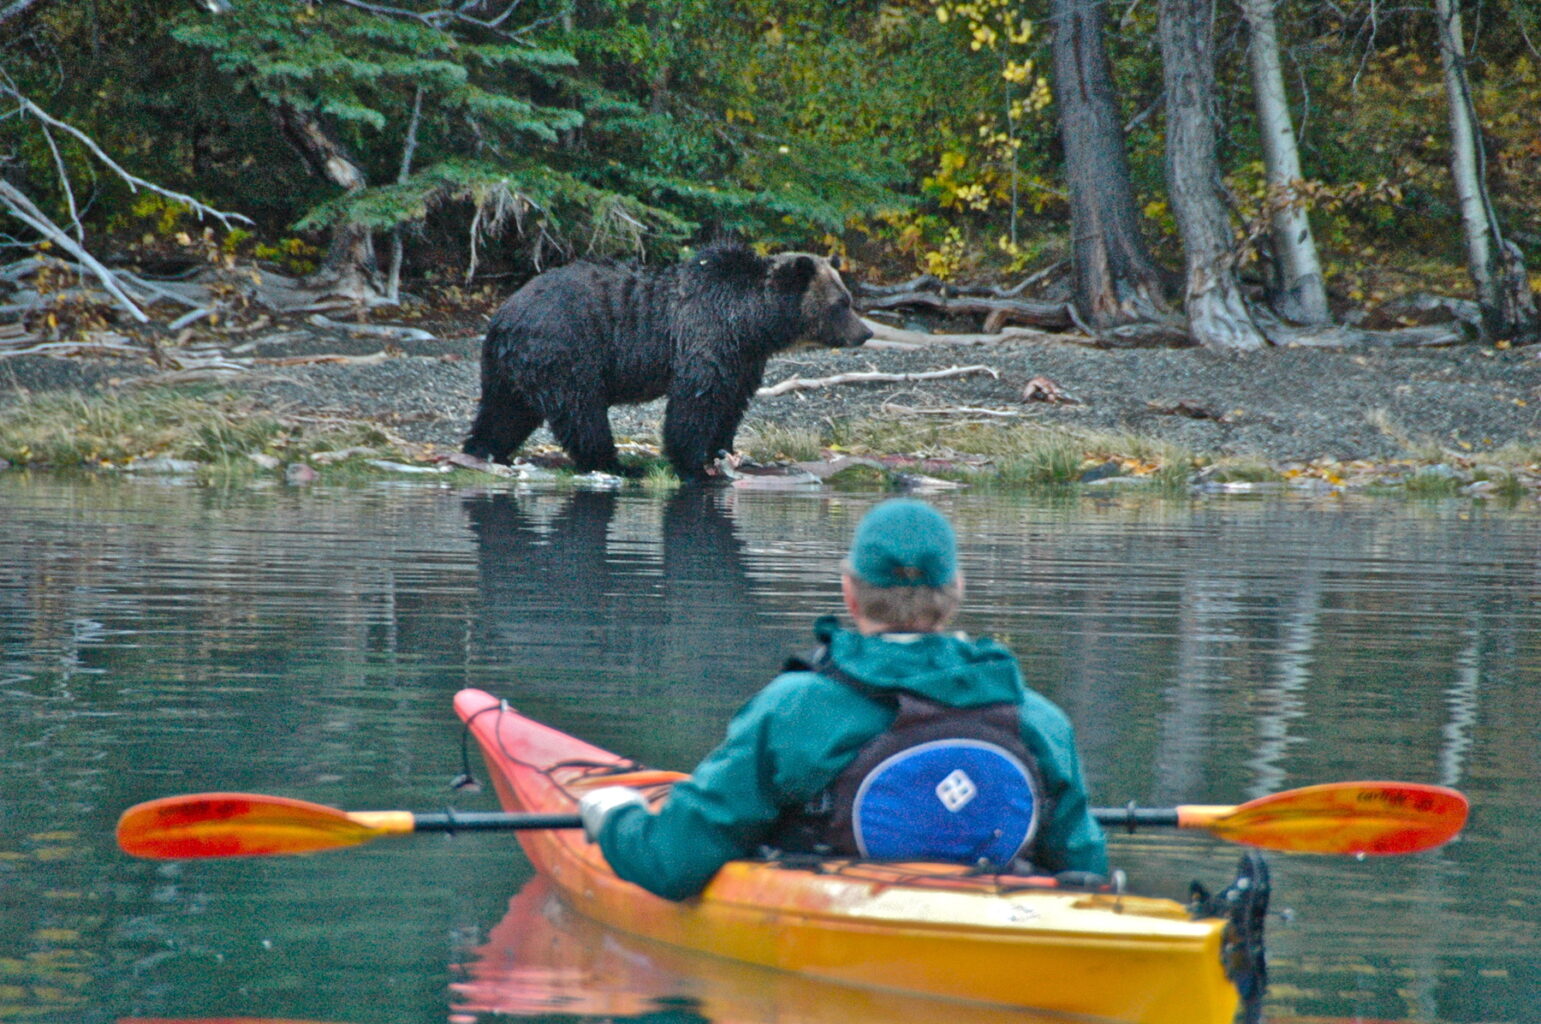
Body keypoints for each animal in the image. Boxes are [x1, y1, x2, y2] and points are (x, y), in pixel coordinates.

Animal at [462, 244, 871, 480]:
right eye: (842, 303)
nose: (865, 332)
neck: (753, 323)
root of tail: (503, 314)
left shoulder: (743, 359)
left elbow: (731, 403)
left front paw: (725, 451)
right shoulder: (705, 340)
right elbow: (695, 404)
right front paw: (693, 462)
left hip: (511, 366)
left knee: (505, 411)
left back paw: (483, 449)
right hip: (565, 350)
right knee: (581, 410)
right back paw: (617, 465)